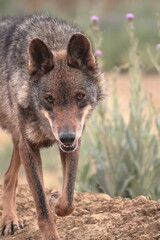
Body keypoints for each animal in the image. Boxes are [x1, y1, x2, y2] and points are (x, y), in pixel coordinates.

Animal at [0, 14, 105, 239]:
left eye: (80, 96)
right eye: (49, 99)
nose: (66, 137)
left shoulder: (73, 143)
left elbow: (68, 201)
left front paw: (55, 201)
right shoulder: (29, 147)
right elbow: (41, 208)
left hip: (17, 138)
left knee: (8, 176)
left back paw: (10, 220)